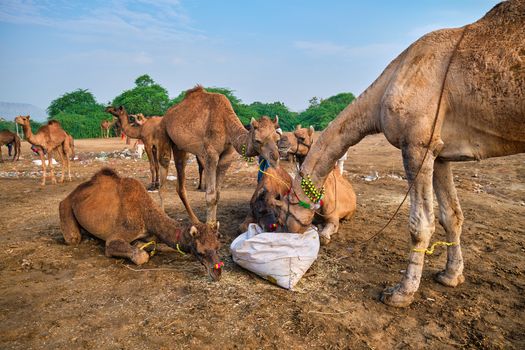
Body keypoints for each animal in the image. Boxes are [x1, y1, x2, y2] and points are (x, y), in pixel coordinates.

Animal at [59, 167, 223, 282]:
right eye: (201, 251)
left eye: (217, 247)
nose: (217, 273)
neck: (147, 215)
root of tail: (72, 193)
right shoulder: (119, 234)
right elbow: (140, 255)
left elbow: (150, 245)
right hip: (66, 206)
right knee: (73, 237)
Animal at [162, 85, 282, 224]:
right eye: (257, 140)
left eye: (277, 139)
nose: (275, 158)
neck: (226, 123)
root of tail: (167, 114)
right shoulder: (210, 155)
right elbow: (210, 195)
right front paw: (210, 226)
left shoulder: (227, 157)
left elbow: (217, 194)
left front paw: (214, 224)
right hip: (166, 136)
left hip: (181, 147)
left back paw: (195, 220)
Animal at [274, 0, 524, 306]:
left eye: (285, 207)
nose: (286, 229)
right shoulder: (439, 152)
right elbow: (451, 216)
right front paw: (451, 275)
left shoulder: (417, 144)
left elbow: (420, 224)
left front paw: (401, 292)